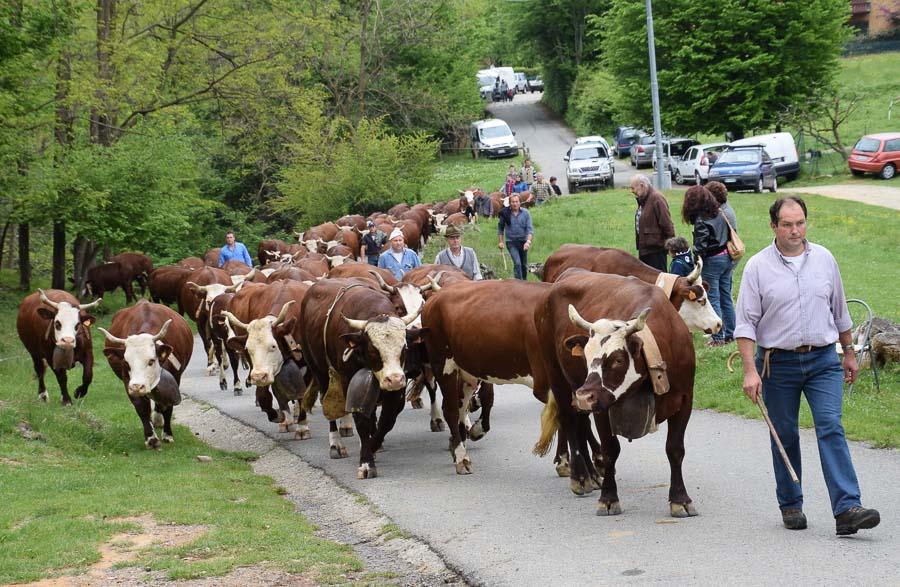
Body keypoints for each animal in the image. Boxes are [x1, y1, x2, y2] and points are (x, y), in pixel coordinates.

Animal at [99, 304, 192, 450]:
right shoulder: (128, 382)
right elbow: (142, 408)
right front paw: (151, 438)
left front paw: (167, 435)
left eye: (151, 361)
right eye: (126, 363)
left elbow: (168, 406)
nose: (137, 386)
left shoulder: (175, 378)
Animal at [532, 268, 700, 516]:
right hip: (558, 377)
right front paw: (609, 498)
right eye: (585, 356)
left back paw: (592, 474)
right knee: (569, 421)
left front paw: (680, 498)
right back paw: (580, 477)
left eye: (618, 359)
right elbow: (611, 449)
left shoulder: (685, 399)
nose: (584, 396)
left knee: (581, 422)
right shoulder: (603, 404)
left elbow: (675, 449)